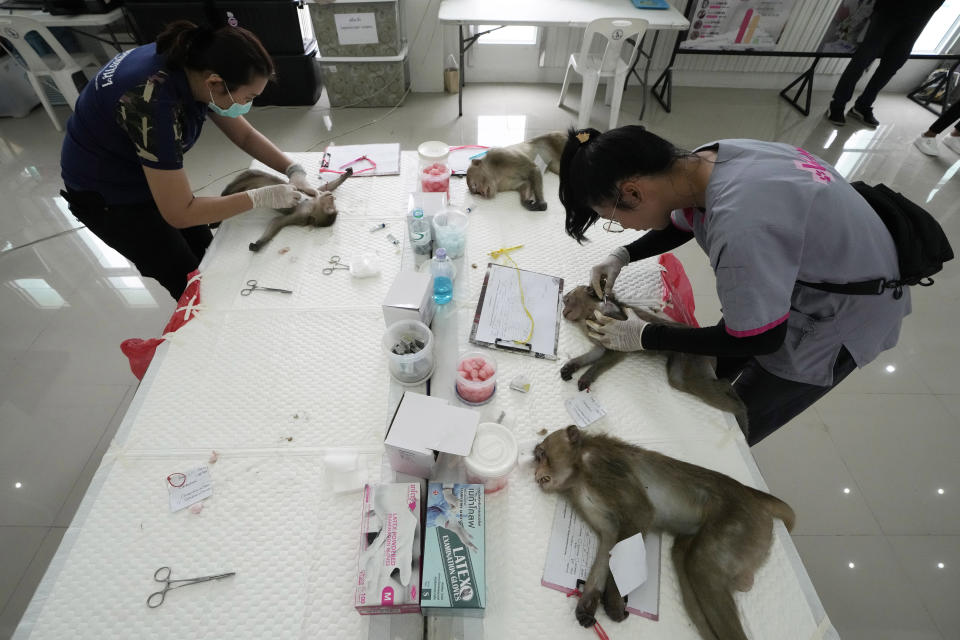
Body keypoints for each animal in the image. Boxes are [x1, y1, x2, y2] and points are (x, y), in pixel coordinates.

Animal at [221, 166, 352, 251]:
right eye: (332, 200)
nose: (331, 196)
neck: (311, 205)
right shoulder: (313, 194)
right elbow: (322, 187)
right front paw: (347, 174)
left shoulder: (300, 216)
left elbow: (277, 221)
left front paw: (258, 244)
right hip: (252, 176)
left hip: (247, 184)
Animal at [532, 424, 796, 640]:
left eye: (542, 455)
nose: (536, 474)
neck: (578, 471)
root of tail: (750, 494)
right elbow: (609, 539)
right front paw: (588, 603)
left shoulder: (603, 466)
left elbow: (641, 514)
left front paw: (614, 601)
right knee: (684, 562)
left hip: (741, 521)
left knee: (700, 564)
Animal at [564, 284, 752, 430]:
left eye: (567, 299)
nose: (564, 309)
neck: (591, 313)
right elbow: (597, 352)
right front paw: (572, 366)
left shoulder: (613, 325)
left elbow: (612, 355)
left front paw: (587, 376)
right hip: (681, 362)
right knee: (678, 380)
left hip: (695, 360)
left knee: (703, 386)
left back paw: (738, 408)